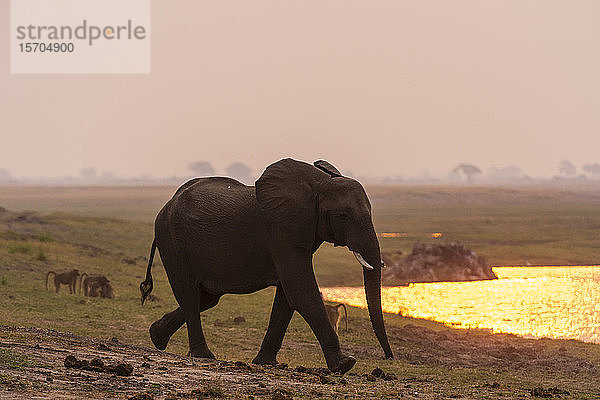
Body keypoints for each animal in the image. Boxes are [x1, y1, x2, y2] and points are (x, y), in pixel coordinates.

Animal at [140, 158, 394, 374]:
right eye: (343, 216)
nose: (389, 357)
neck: (319, 183)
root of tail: (167, 205)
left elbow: (287, 296)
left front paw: (266, 363)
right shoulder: (280, 231)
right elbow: (301, 292)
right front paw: (345, 364)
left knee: (207, 297)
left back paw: (156, 336)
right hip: (173, 241)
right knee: (190, 294)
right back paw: (203, 356)